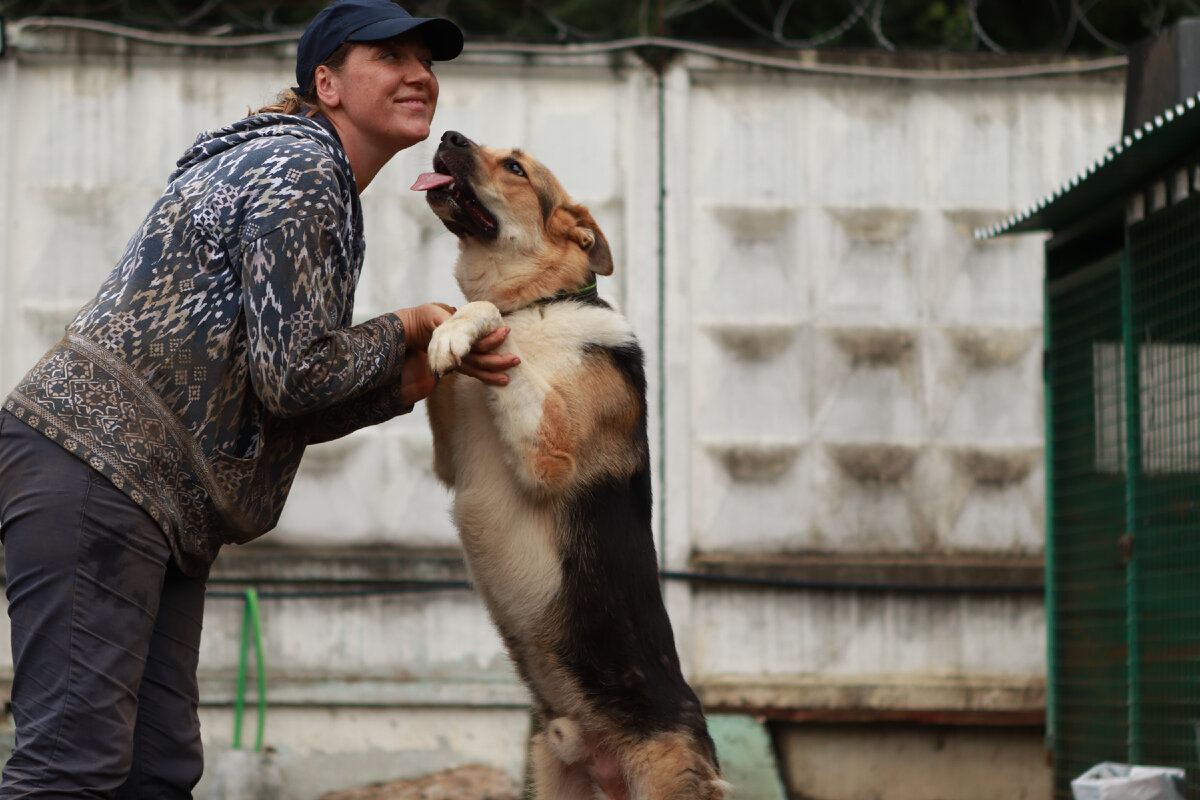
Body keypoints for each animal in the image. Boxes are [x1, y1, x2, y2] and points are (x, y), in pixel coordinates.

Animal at [412, 133, 729, 800]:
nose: (448, 135)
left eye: (515, 167)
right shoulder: (450, 456)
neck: (539, 305)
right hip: (553, 770)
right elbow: (450, 340)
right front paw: (437, 334)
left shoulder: (547, 451)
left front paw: (465, 325)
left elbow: (486, 311)